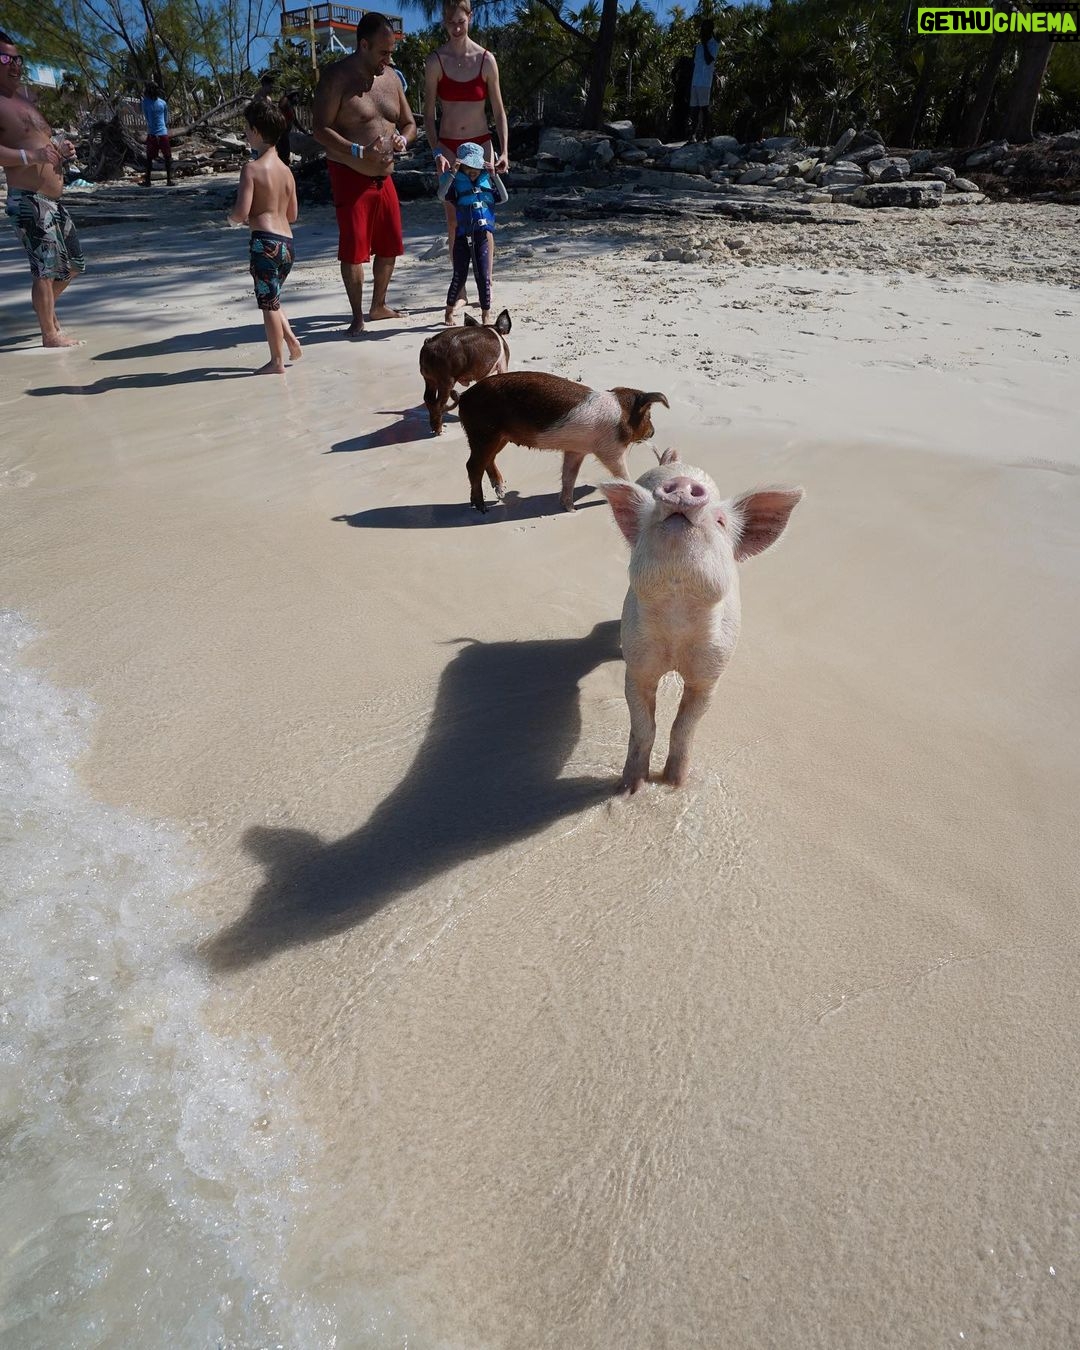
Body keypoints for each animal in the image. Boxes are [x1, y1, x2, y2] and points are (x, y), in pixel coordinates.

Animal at [456, 371, 669, 514]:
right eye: (648, 415)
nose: (653, 432)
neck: (622, 416)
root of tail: (464, 397)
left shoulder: (575, 450)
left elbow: (569, 476)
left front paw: (570, 509)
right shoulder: (610, 448)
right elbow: (622, 473)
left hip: (499, 437)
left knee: (487, 460)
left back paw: (500, 492)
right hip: (483, 432)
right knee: (472, 465)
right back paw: (481, 507)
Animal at [599, 449, 802, 794]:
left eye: (720, 521)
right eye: (652, 517)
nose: (682, 484)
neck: (677, 624)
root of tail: (676, 463)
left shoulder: (711, 672)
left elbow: (684, 726)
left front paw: (674, 784)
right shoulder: (638, 665)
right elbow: (643, 726)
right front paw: (630, 789)